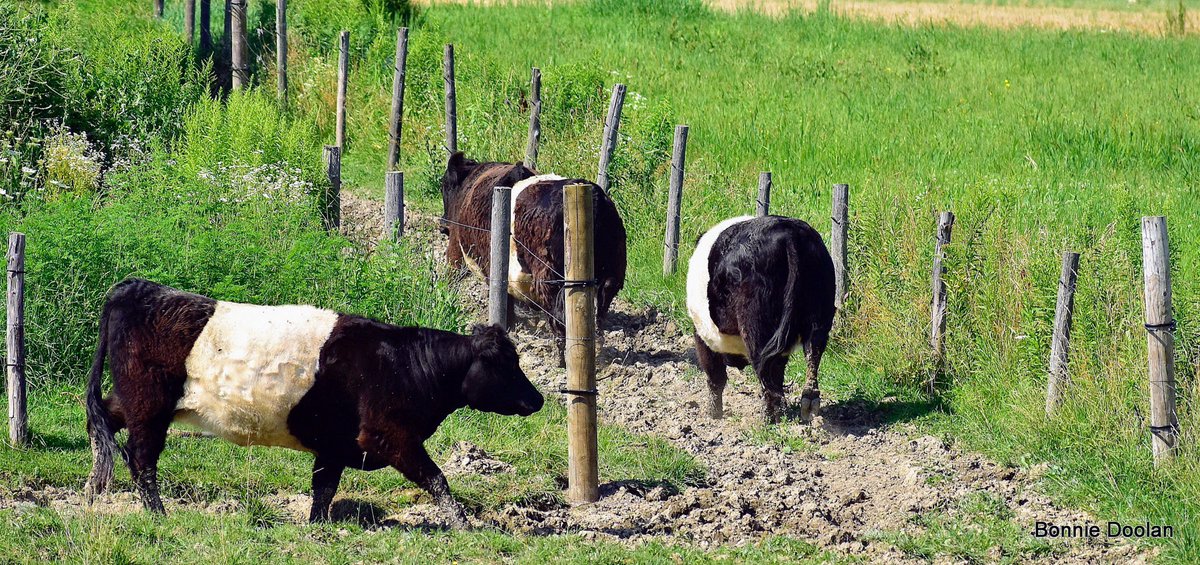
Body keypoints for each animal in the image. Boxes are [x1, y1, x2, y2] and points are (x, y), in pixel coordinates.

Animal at [83, 278, 543, 529]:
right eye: (507, 364)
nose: (537, 399)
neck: (405, 363)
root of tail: (137, 287)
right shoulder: (387, 435)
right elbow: (437, 480)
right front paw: (464, 524)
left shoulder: (335, 445)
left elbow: (323, 489)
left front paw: (317, 528)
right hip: (150, 405)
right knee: (141, 458)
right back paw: (158, 514)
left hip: (133, 400)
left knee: (102, 423)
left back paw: (91, 491)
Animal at [439, 152, 627, 366]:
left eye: (445, 186)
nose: (443, 226)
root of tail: (595, 197)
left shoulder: (458, 252)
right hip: (612, 275)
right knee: (598, 313)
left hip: (551, 280)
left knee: (560, 318)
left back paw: (562, 359)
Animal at [686, 215, 835, 424]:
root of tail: (789, 233)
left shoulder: (703, 336)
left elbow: (715, 376)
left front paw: (713, 415)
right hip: (819, 319)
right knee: (811, 354)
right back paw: (807, 406)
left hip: (755, 328)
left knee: (765, 370)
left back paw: (767, 420)